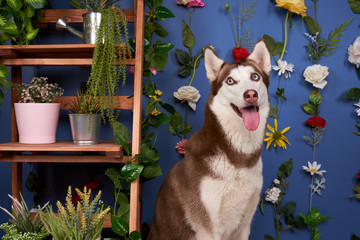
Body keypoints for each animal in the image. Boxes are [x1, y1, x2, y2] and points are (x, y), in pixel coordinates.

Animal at [148, 39, 270, 240]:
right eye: (230, 81)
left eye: (255, 77)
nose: (251, 94)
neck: (239, 159)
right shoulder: (208, 226)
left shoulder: (244, 225)